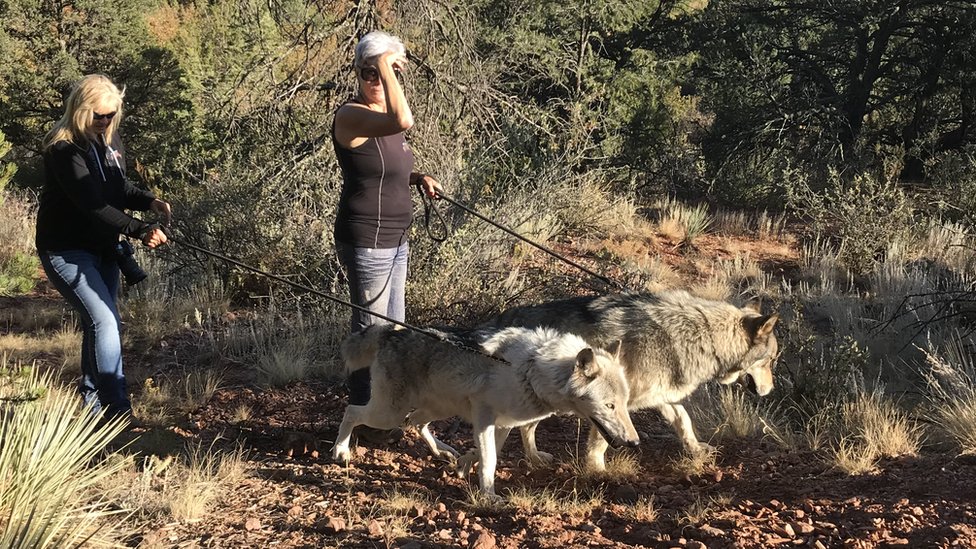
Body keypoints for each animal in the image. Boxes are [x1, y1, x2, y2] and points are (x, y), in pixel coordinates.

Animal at [332, 324, 644, 498]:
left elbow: (486, 453)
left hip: (436, 408)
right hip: (388, 413)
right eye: (609, 405)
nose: (634, 443)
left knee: (416, 423)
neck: (531, 369)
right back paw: (340, 451)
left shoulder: (504, 423)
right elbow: (491, 459)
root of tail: (390, 332)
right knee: (352, 411)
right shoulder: (484, 417)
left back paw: (443, 451)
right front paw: (489, 495)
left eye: (624, 404)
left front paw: (464, 464)